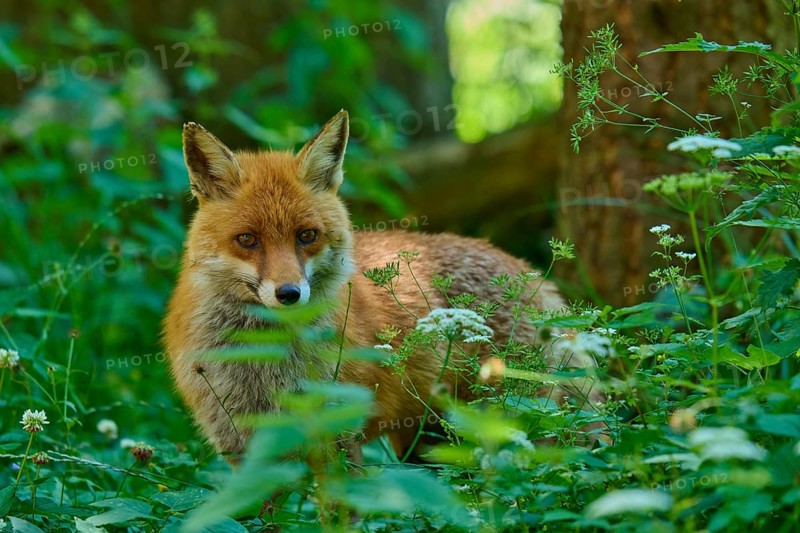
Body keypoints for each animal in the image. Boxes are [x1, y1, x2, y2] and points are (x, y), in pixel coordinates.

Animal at [163, 110, 602, 461]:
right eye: (247, 240)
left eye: (307, 236)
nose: (289, 294)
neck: (265, 363)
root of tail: (529, 272)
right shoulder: (237, 444)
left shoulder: (339, 434)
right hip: (426, 440)